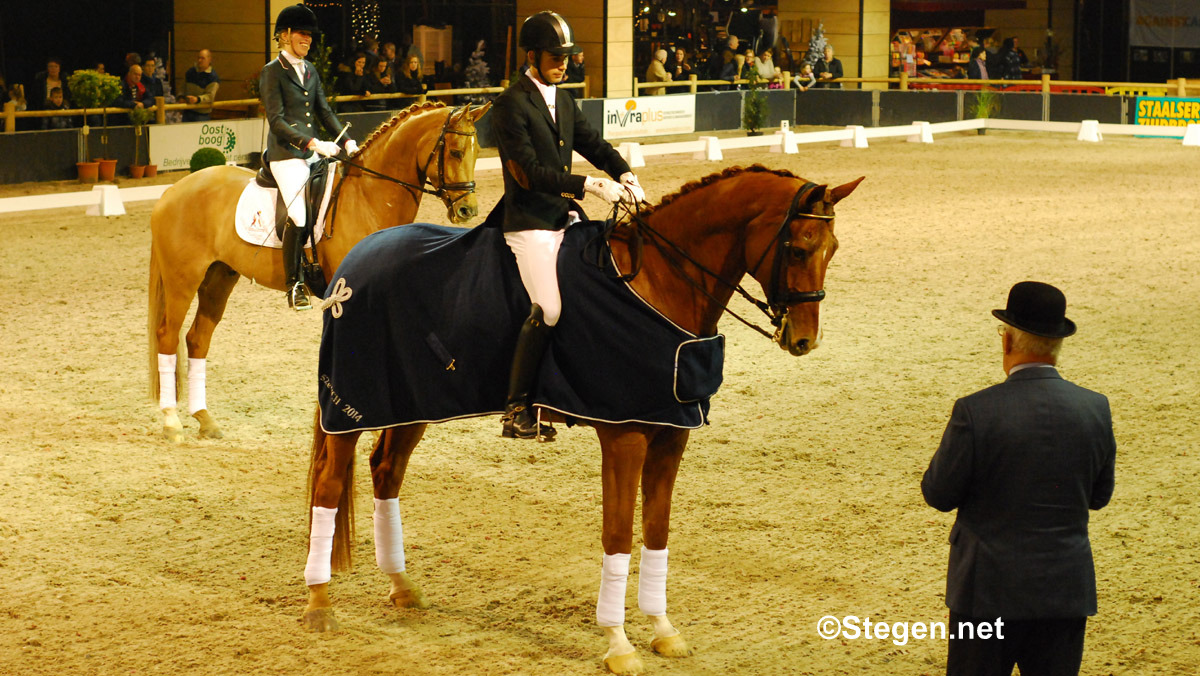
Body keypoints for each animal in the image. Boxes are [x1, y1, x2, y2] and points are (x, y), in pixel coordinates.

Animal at [146, 99, 487, 439]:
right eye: (456, 152)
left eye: (477, 150)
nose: (467, 210)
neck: (367, 196)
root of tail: (173, 191)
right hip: (183, 280)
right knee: (167, 335)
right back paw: (171, 421)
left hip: (218, 278)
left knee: (197, 339)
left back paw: (205, 419)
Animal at [300, 166, 864, 672]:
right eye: (799, 248)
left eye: (833, 249)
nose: (803, 340)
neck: (659, 283)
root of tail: (358, 257)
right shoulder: (625, 435)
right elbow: (617, 535)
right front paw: (618, 644)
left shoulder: (671, 434)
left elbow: (656, 530)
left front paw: (663, 630)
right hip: (354, 404)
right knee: (330, 484)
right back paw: (320, 604)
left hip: (414, 400)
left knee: (385, 472)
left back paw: (400, 586)